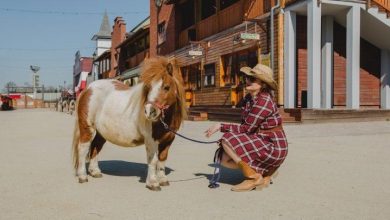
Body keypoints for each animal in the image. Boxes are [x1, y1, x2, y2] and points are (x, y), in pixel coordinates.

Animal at [72, 56, 187, 191]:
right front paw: (153, 183)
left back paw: (95, 171)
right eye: (148, 88)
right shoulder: (151, 140)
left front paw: (163, 180)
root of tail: (88, 89)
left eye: (167, 87)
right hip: (87, 128)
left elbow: (162, 159)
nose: (149, 111)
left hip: (101, 132)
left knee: (96, 146)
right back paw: (82, 176)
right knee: (83, 148)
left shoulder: (169, 140)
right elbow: (153, 160)